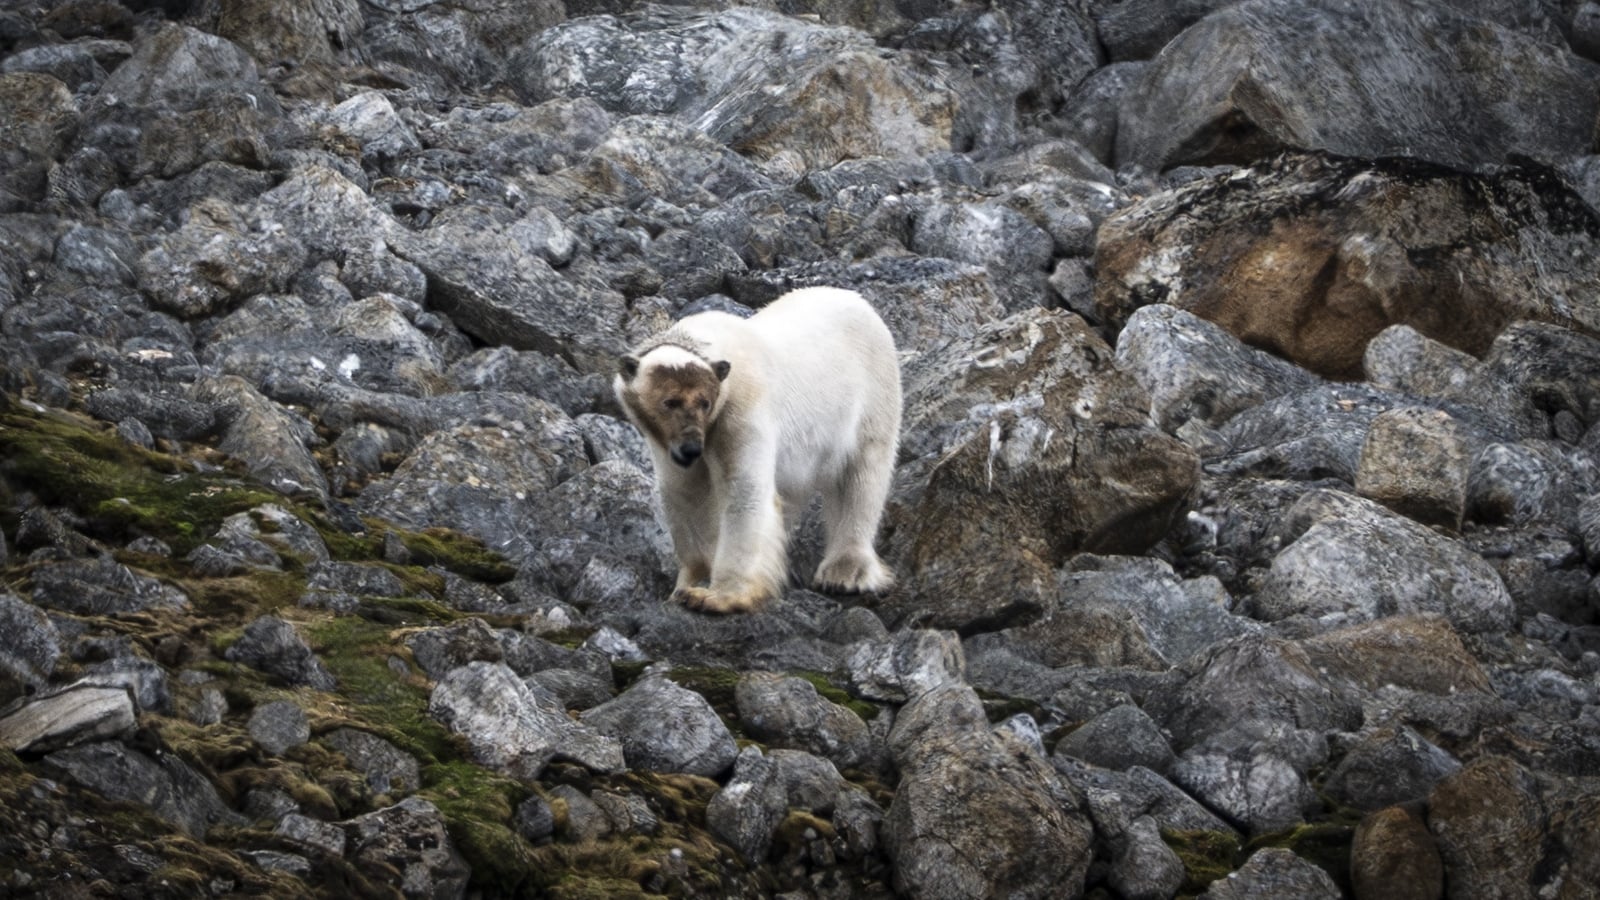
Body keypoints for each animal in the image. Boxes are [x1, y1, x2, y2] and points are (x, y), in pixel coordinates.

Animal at [614, 286, 902, 614]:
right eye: (669, 402)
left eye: (704, 402)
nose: (691, 448)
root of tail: (859, 300)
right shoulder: (666, 443)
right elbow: (686, 492)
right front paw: (687, 585)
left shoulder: (740, 408)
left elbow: (744, 489)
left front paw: (714, 596)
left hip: (872, 394)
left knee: (860, 477)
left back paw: (845, 572)